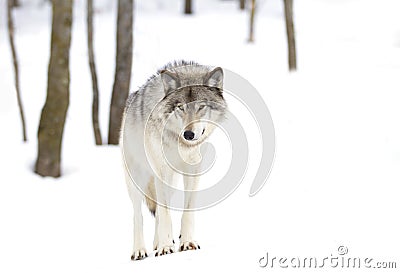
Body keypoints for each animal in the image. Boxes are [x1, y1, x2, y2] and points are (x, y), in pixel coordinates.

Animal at [119, 60, 228, 260]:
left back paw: (156, 243)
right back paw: (140, 250)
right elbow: (164, 214)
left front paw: (186, 242)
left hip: (170, 183)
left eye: (201, 106)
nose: (189, 134)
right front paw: (165, 247)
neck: (180, 144)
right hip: (137, 179)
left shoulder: (193, 171)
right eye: (180, 107)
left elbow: (186, 211)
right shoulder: (161, 171)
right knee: (139, 215)